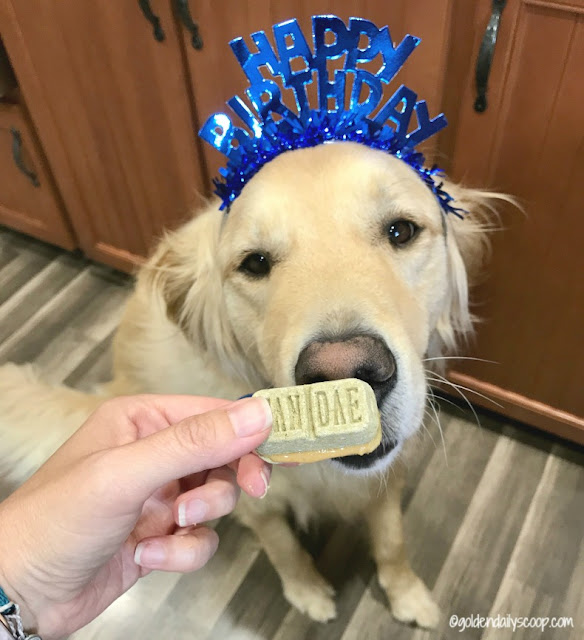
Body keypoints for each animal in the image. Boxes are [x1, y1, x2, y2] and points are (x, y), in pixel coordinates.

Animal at [0, 142, 506, 628]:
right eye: (255, 263)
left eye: (401, 231)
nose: (345, 368)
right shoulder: (254, 499)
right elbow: (283, 547)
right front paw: (306, 592)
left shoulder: (388, 473)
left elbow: (392, 541)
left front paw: (407, 593)